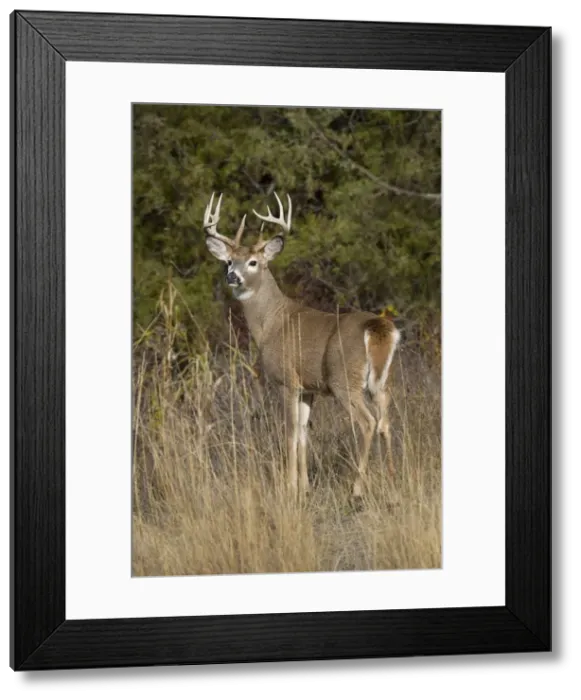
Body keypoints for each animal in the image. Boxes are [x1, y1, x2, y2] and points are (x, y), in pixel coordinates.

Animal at [203, 191, 401, 500]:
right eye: (228, 261)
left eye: (253, 262)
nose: (232, 276)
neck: (271, 323)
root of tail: (377, 327)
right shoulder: (309, 388)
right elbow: (303, 434)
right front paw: (304, 486)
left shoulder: (287, 380)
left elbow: (289, 433)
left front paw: (288, 487)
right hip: (382, 382)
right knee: (386, 422)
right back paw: (392, 482)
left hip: (344, 379)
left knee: (367, 423)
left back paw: (356, 488)